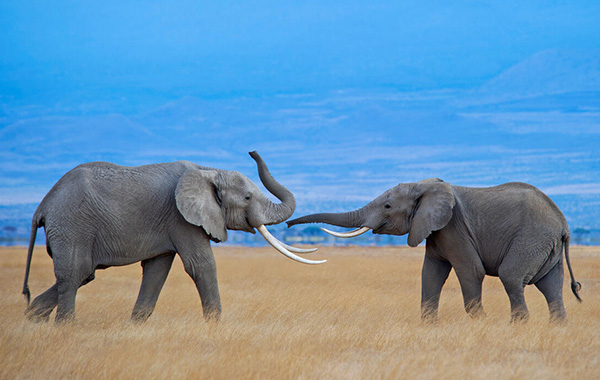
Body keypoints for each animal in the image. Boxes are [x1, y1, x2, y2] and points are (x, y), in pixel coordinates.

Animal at [23, 151, 324, 324]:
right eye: (248, 197)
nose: (252, 151)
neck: (208, 170)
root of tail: (42, 206)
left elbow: (157, 270)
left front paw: (136, 327)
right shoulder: (180, 217)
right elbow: (201, 265)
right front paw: (215, 327)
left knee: (83, 274)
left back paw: (33, 319)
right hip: (72, 225)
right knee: (76, 272)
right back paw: (65, 327)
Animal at [288, 180, 580, 322]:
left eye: (387, 206)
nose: (289, 224)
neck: (425, 185)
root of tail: (563, 224)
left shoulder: (454, 227)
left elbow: (471, 271)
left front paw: (482, 323)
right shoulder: (434, 230)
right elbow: (430, 274)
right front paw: (429, 325)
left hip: (531, 238)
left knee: (511, 277)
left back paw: (517, 326)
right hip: (545, 245)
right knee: (552, 286)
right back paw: (557, 327)